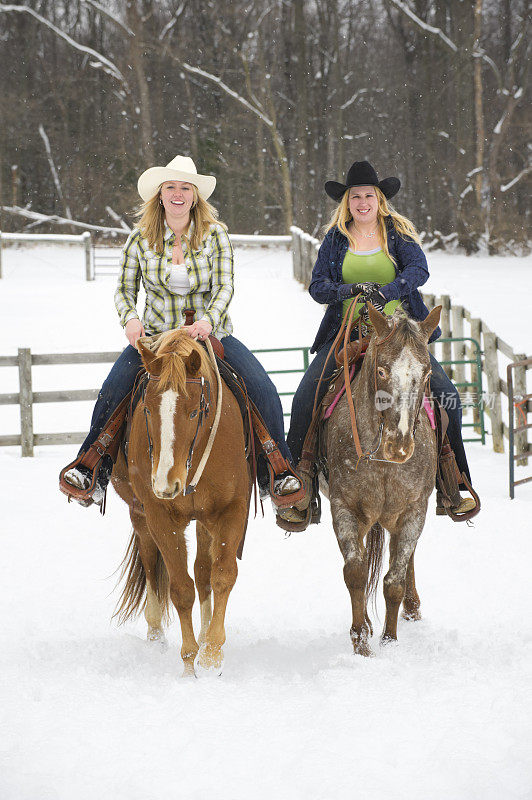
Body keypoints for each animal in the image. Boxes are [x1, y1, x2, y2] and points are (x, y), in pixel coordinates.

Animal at [110, 330, 251, 676]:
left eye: (194, 412)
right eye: (147, 410)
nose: (165, 483)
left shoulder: (231, 510)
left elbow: (222, 575)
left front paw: (211, 653)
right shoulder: (160, 517)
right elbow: (180, 589)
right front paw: (189, 663)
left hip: (204, 519)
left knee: (203, 572)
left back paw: (204, 633)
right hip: (140, 514)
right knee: (150, 562)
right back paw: (156, 634)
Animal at [326, 304, 442, 656]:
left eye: (427, 374)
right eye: (381, 371)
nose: (399, 446)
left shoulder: (414, 511)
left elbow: (394, 581)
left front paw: (389, 641)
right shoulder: (345, 507)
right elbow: (356, 571)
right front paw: (361, 640)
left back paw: (412, 608)